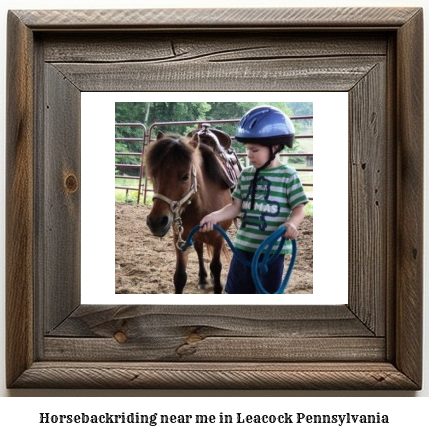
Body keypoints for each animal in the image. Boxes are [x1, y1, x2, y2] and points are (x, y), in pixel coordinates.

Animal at [145, 133, 232, 294]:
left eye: (185, 176)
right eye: (153, 175)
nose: (156, 222)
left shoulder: (218, 237)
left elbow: (216, 267)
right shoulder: (180, 239)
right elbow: (179, 276)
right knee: (199, 250)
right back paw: (203, 278)